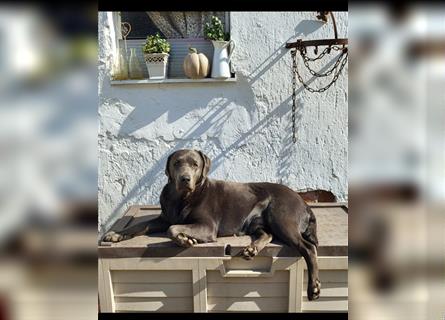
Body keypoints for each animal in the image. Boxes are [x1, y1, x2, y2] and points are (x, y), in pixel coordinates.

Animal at [104, 149, 320, 300]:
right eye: (176, 163)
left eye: (195, 164)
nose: (184, 178)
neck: (182, 198)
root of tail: (303, 202)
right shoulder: (163, 217)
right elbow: (140, 226)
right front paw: (115, 234)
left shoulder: (206, 226)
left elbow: (172, 229)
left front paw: (185, 239)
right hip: (257, 222)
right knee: (267, 234)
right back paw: (251, 249)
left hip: (281, 218)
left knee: (308, 248)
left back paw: (314, 287)